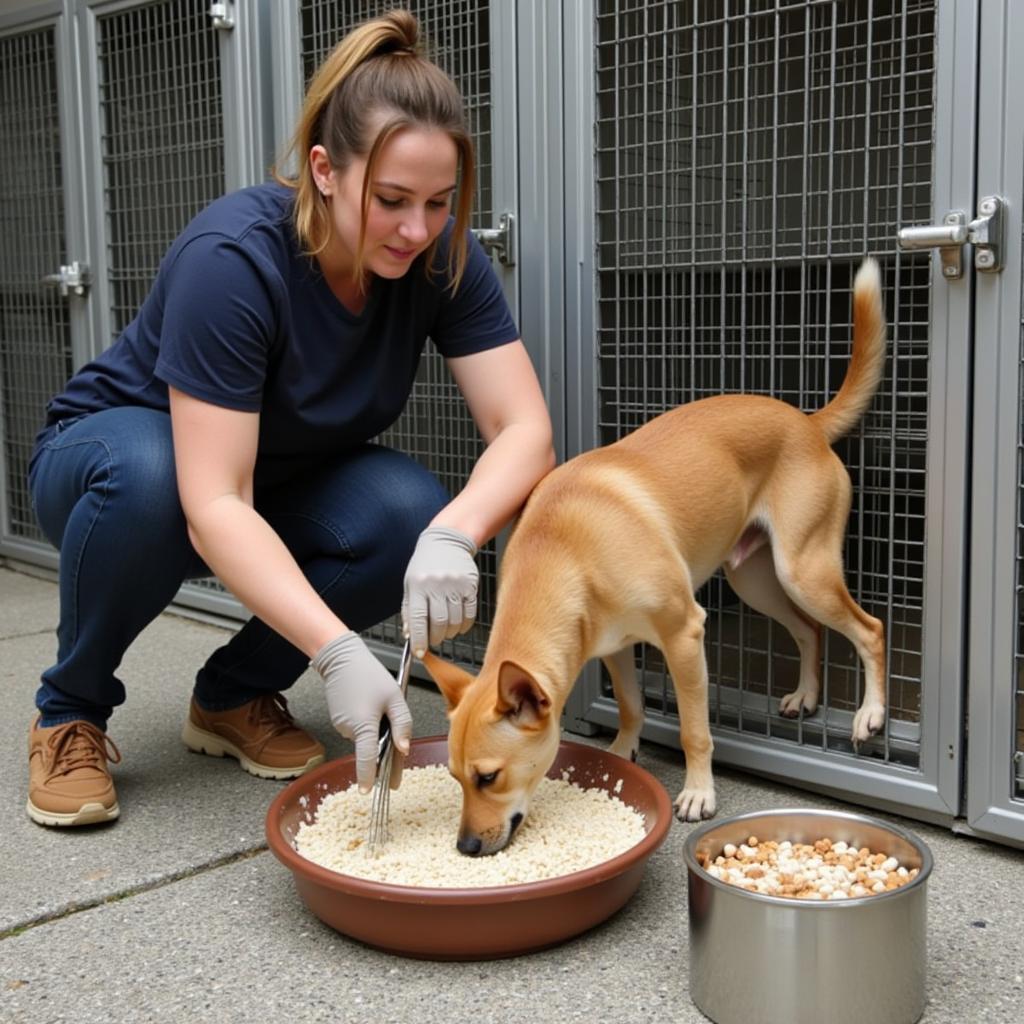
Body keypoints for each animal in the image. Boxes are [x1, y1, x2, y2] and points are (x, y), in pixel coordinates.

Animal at [423, 258, 888, 856]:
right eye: (456, 777)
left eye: (489, 777)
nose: (466, 848)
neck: (565, 548)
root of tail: (806, 422)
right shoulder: (613, 645)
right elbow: (630, 704)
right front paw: (622, 753)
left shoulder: (685, 634)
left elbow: (694, 729)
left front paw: (698, 793)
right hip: (758, 581)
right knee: (809, 631)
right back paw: (806, 695)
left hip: (804, 571)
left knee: (868, 629)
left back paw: (870, 714)